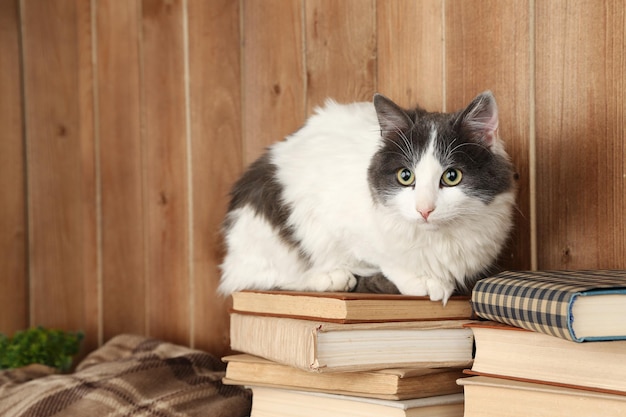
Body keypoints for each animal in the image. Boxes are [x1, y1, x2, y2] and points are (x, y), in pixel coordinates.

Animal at [217, 90, 516, 302]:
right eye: (405, 176)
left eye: (452, 176)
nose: (424, 209)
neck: (439, 239)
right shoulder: (334, 219)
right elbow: (385, 256)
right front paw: (422, 281)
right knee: (262, 277)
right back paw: (332, 277)